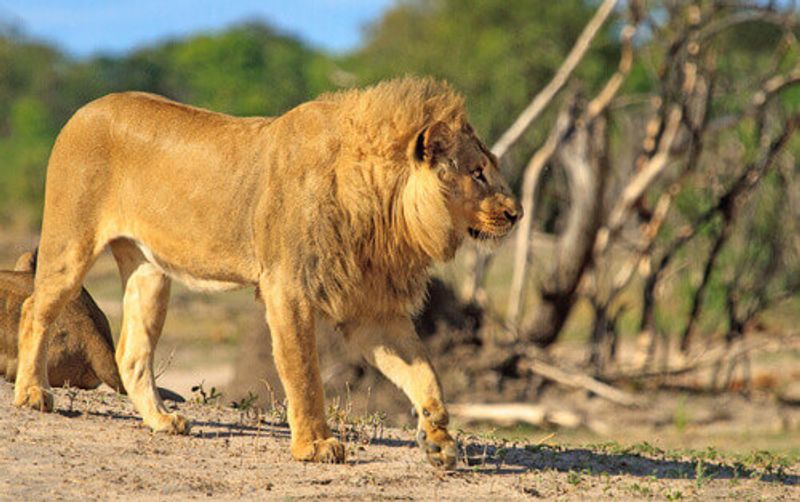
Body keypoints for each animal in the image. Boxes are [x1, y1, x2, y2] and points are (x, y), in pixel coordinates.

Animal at [17, 76, 524, 468]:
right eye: (478, 172)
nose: (516, 213)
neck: (384, 208)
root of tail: (85, 109)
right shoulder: (288, 287)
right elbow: (304, 372)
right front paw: (315, 446)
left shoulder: (370, 309)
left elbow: (424, 373)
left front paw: (438, 440)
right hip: (70, 244)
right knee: (33, 309)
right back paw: (32, 394)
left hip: (149, 270)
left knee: (132, 352)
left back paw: (162, 421)